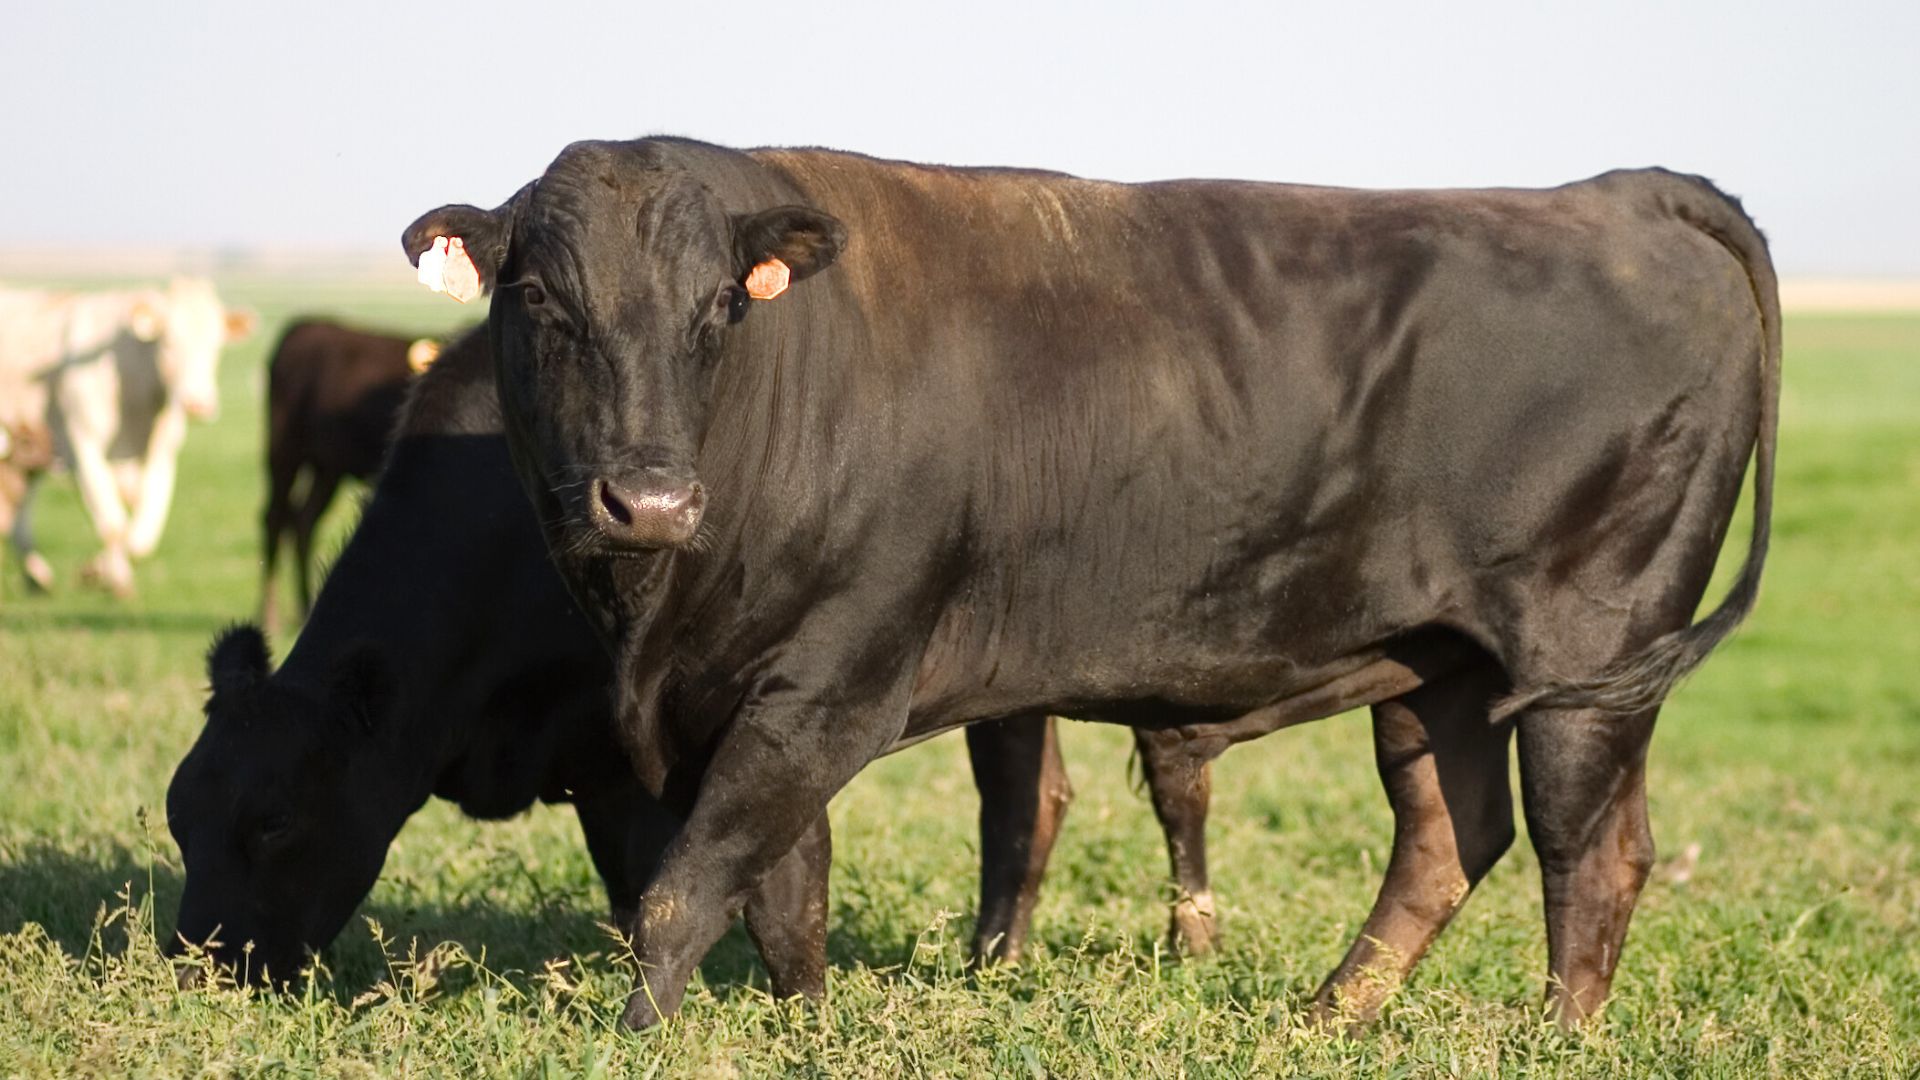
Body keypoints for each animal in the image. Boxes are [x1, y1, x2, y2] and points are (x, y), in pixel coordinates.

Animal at [0, 279, 254, 596]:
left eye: (215, 345)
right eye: (168, 342)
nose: (197, 404)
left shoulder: (162, 455)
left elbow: (143, 535)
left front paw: (96, 571)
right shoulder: (83, 448)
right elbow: (113, 524)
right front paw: (116, 580)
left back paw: (37, 577)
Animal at [259, 319, 449, 630]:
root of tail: (302, 327)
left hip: (327, 467)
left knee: (303, 521)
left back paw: (306, 607)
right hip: (284, 451)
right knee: (275, 519)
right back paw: (269, 616)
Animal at [405, 139, 1778, 1031]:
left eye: (714, 314)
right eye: (541, 297)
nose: (648, 500)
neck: (653, 620)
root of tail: (1621, 195)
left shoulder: (827, 683)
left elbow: (683, 894)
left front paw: (639, 1041)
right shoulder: (735, 698)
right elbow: (784, 903)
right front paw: (805, 1037)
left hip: (1588, 656)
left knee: (1589, 849)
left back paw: (1558, 1035)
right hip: (1441, 666)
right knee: (1451, 832)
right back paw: (1330, 1015)